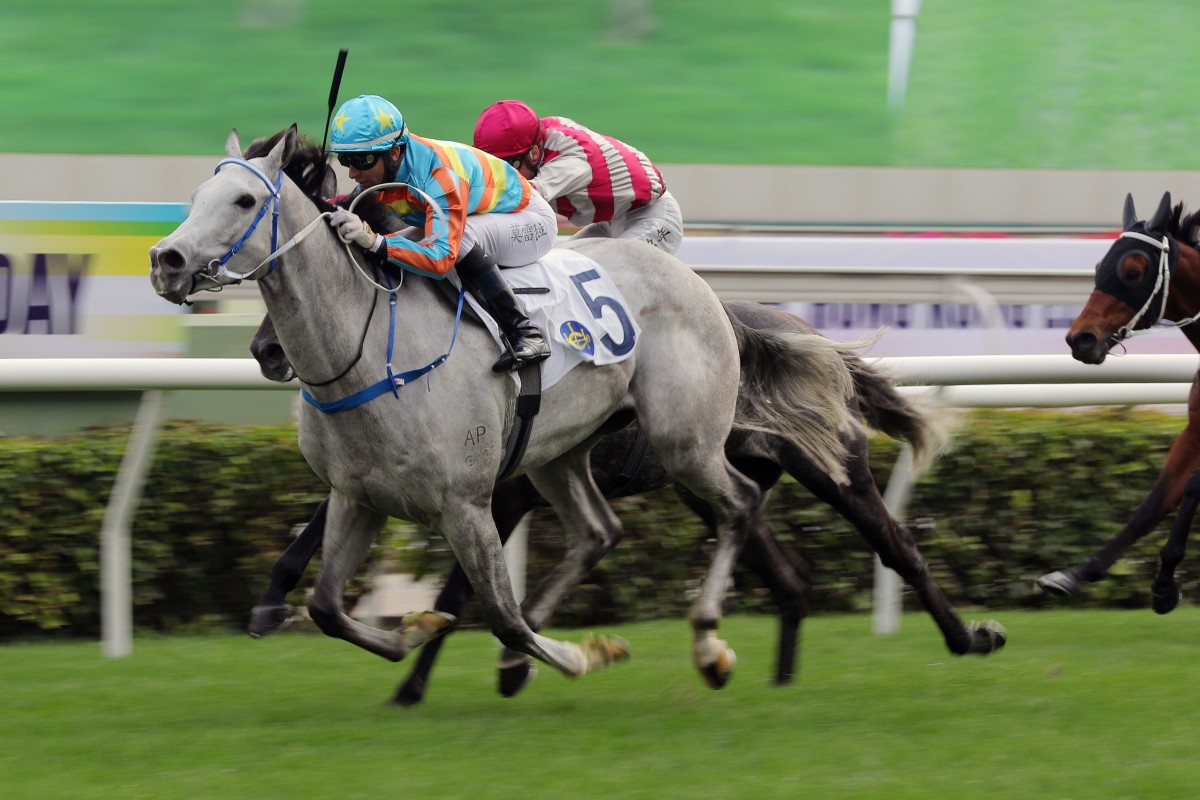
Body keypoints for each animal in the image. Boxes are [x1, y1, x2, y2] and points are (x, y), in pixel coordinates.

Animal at [1046, 191, 1200, 614]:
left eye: (1133, 271)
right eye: (1100, 265)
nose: (1080, 339)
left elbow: (1192, 486)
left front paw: (1165, 585)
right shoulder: (1193, 430)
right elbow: (1152, 504)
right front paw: (1075, 574)